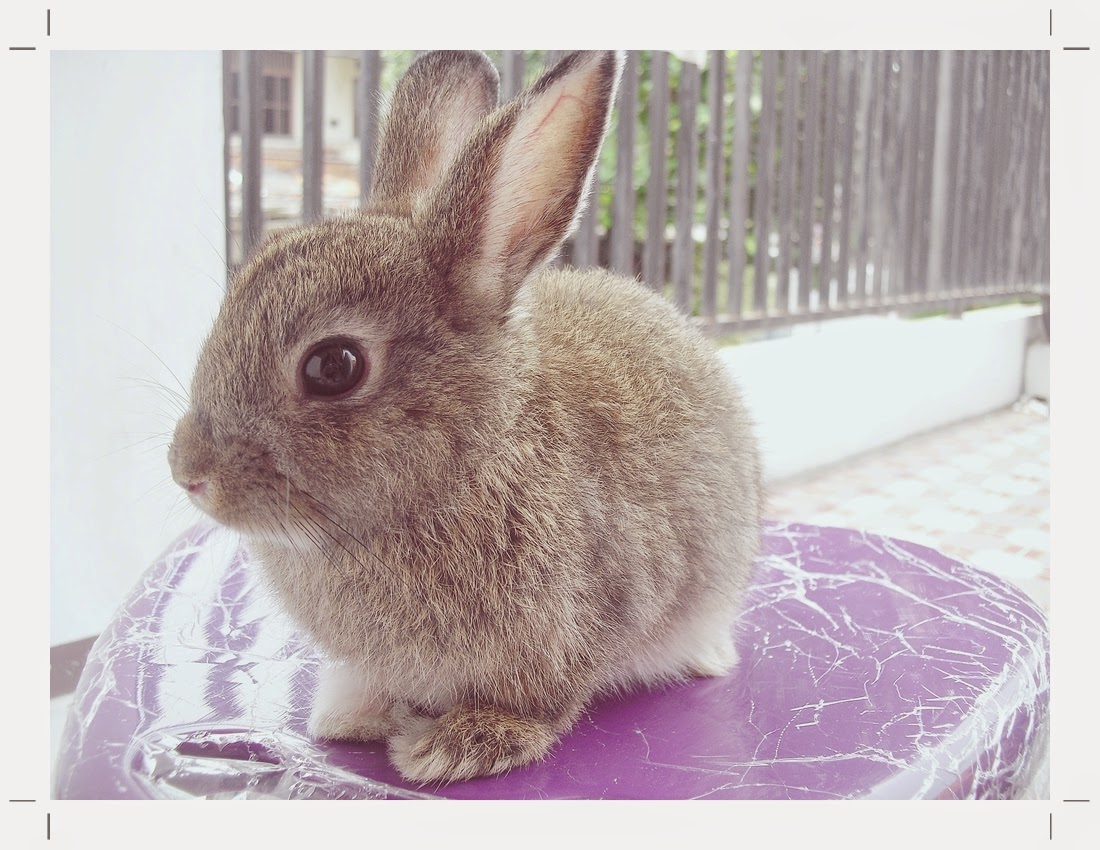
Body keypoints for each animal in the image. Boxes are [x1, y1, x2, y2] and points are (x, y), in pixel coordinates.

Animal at [167, 51, 761, 782]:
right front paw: (347, 715)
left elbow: (544, 702)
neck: (468, 458)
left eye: (333, 367)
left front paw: (452, 746)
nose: (188, 472)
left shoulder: (585, 619)